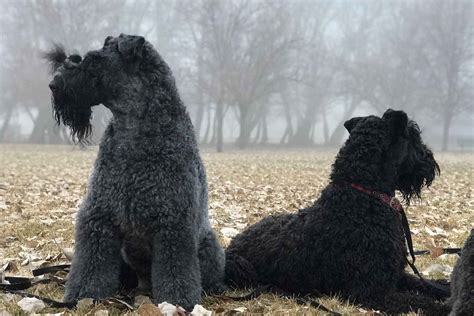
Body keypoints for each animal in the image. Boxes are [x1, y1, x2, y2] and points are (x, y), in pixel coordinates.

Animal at [45, 33, 226, 310]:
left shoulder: (173, 223)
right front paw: (82, 295)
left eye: (95, 61)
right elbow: (90, 262)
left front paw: (178, 301)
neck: (134, 131)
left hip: (207, 246)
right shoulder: (98, 216)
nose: (54, 84)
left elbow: (176, 269)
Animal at [225, 110, 448, 314]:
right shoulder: (372, 292)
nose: (430, 160)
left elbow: (425, 285)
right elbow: (418, 301)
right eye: (414, 137)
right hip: (243, 268)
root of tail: (233, 244)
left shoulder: (395, 274)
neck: (363, 195)